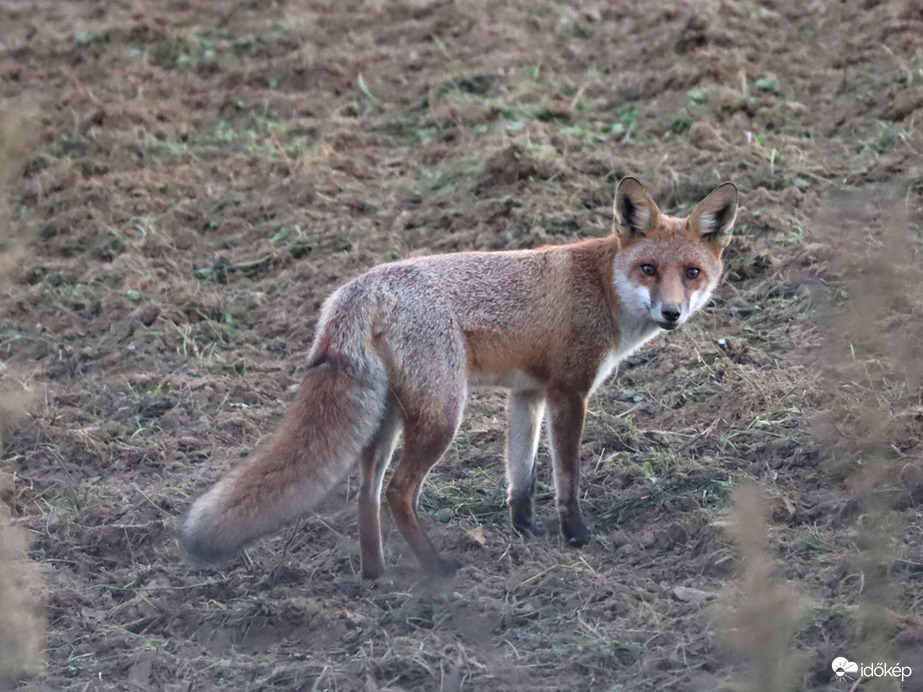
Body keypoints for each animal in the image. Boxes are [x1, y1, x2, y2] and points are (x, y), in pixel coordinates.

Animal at [184, 177, 740, 580]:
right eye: (648, 269)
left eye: (691, 273)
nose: (671, 314)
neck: (602, 288)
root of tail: (360, 287)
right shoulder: (569, 391)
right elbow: (567, 477)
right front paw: (576, 536)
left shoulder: (527, 394)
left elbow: (521, 476)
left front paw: (525, 533)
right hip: (442, 414)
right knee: (397, 492)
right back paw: (434, 568)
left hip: (387, 418)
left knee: (366, 491)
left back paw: (375, 575)